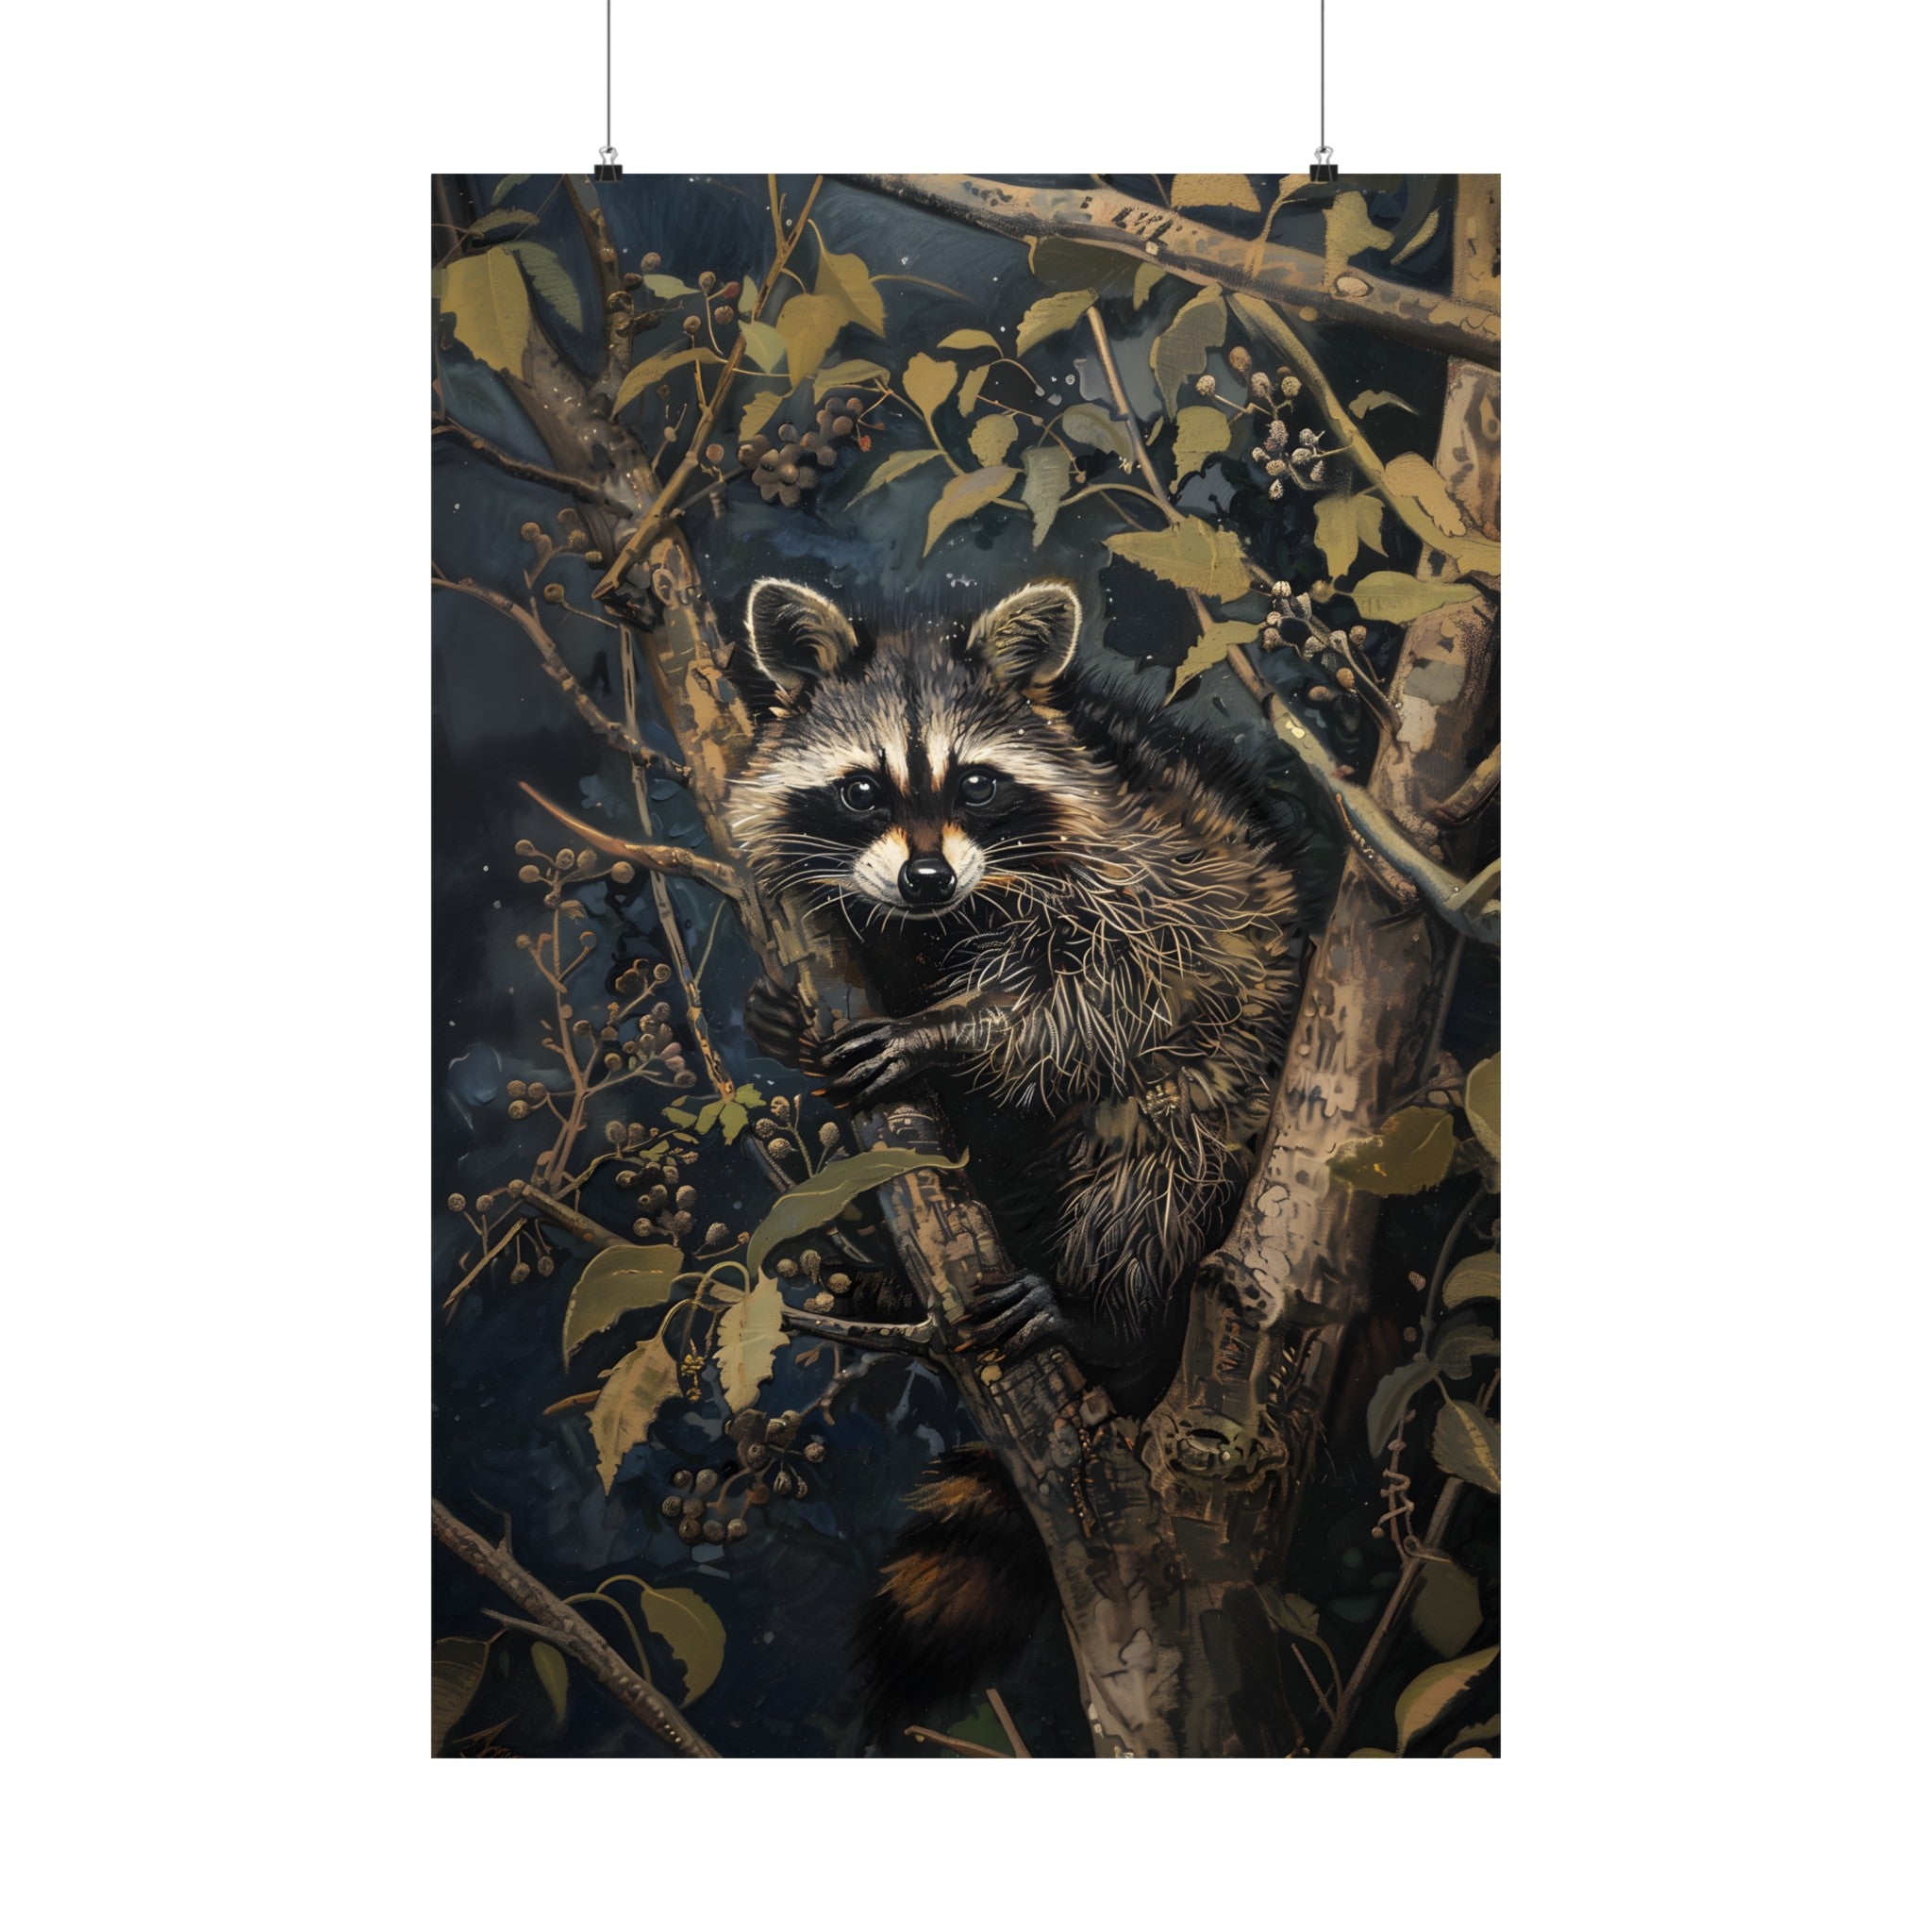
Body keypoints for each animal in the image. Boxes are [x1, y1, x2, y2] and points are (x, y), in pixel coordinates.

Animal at [727, 577, 1304, 1736]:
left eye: (977, 782)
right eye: (861, 790)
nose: (925, 874)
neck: (947, 917)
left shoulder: (1151, 879)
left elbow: (1097, 1000)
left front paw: (948, 1030)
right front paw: (794, 1022)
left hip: (1236, 1075)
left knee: (1159, 1158)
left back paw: (1107, 1311)